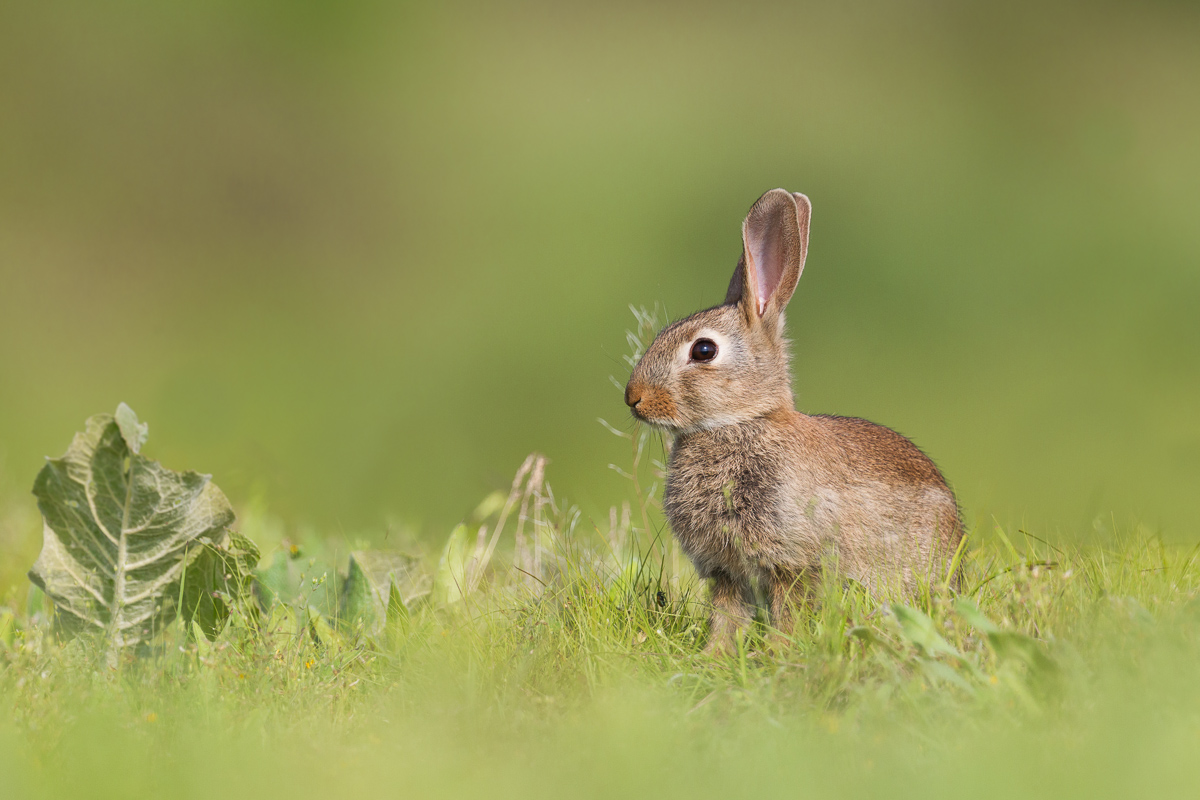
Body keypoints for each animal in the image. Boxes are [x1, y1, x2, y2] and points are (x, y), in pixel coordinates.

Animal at [624, 188, 962, 654]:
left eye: (704, 351)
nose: (633, 398)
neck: (740, 421)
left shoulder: (792, 561)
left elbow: (787, 612)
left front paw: (778, 654)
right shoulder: (725, 571)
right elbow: (727, 616)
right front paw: (714, 656)